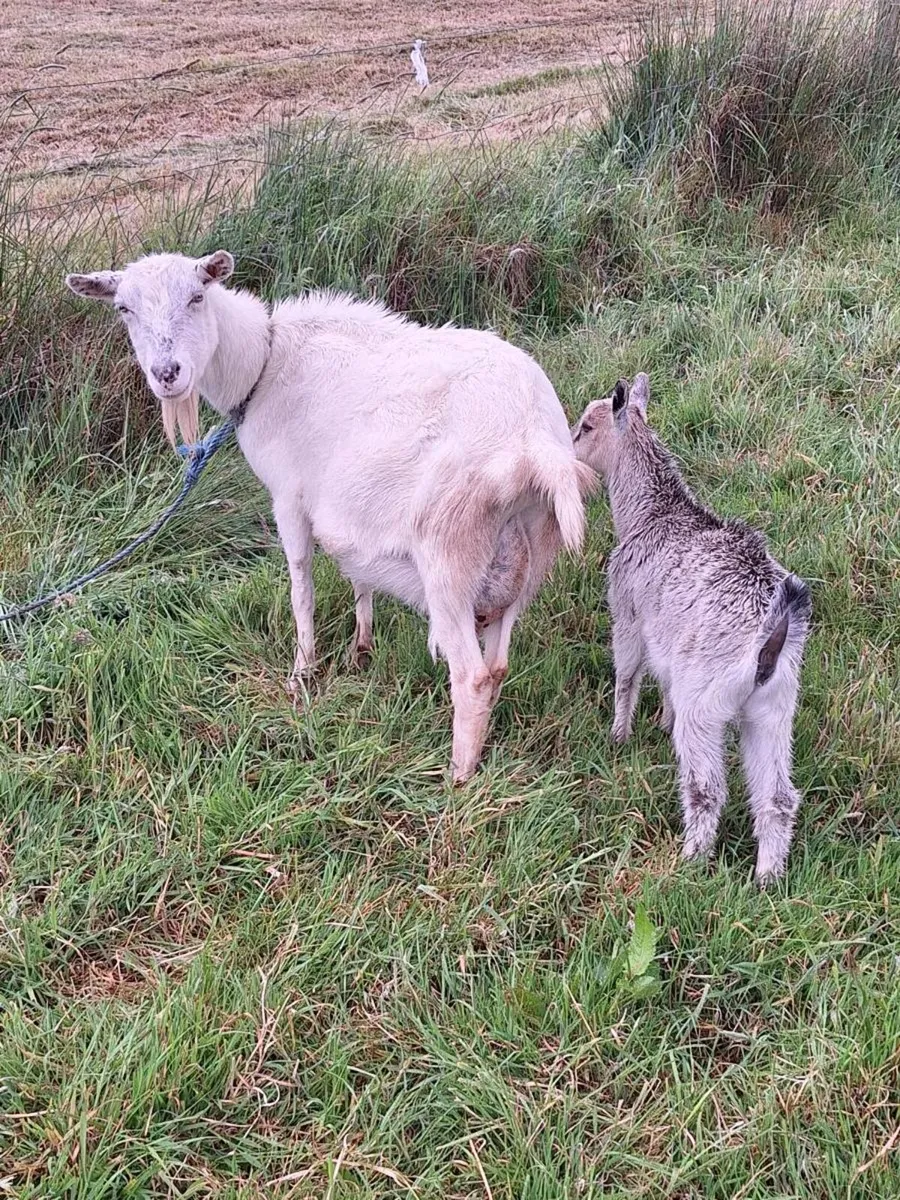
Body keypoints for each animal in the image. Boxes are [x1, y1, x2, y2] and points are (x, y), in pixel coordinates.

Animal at [66, 251, 594, 782]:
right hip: (529, 554)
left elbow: (301, 586)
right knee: (499, 664)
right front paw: (362, 645)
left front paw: (301, 673)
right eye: (123, 309)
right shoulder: (349, 506)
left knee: (471, 676)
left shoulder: (289, 496)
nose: (167, 373)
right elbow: (358, 572)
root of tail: (531, 442)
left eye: (197, 296)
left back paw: (457, 778)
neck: (265, 364)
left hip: (449, 552)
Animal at [572, 374, 811, 884]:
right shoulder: (669, 642)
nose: (568, 446)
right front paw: (660, 720)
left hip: (706, 704)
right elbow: (662, 679)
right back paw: (767, 879)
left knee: (706, 788)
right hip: (775, 708)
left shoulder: (628, 612)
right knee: (778, 798)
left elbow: (627, 675)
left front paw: (619, 736)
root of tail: (773, 630)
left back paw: (690, 863)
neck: (652, 515)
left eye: (586, 426)